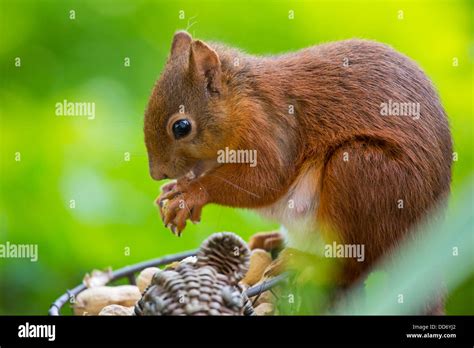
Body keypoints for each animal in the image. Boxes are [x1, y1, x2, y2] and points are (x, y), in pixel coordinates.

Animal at [143, 31, 452, 300]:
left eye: (181, 127)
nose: (157, 174)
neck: (241, 100)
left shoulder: (270, 128)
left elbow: (265, 180)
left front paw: (191, 194)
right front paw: (172, 190)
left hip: (359, 170)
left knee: (354, 266)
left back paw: (307, 263)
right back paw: (270, 241)